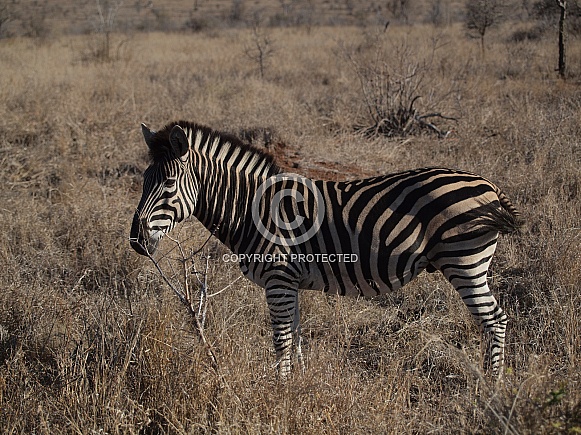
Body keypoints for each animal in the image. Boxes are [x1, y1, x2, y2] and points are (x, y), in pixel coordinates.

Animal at [130, 122, 520, 378]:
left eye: (168, 183)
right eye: (144, 180)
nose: (135, 241)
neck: (252, 209)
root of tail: (490, 185)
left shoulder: (278, 280)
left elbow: (282, 341)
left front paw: (280, 391)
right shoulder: (289, 284)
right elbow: (297, 337)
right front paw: (299, 385)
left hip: (465, 262)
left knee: (496, 319)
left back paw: (492, 386)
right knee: (495, 320)